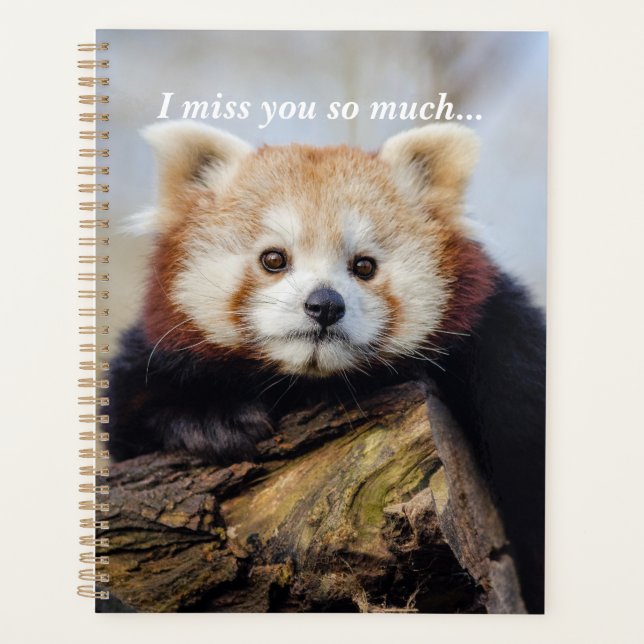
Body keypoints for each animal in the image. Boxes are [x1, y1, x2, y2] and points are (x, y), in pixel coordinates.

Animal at [109, 121, 546, 613]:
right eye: (274, 259)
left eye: (364, 266)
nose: (324, 305)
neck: (306, 382)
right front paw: (212, 419)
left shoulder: (510, 355)